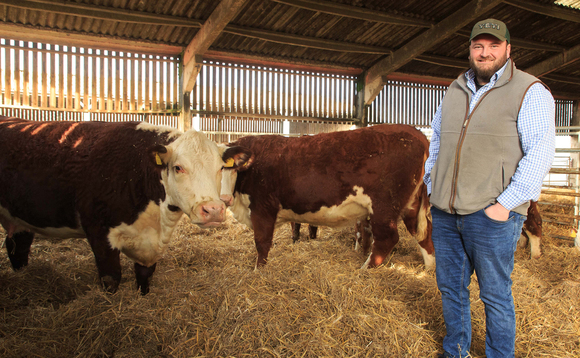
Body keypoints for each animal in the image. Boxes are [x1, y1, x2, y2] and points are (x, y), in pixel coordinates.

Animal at [0, 117, 249, 294]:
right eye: (178, 167)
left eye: (220, 168)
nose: (213, 210)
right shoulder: (98, 232)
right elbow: (111, 278)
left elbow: (145, 276)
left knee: (17, 247)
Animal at [221, 124, 436, 270]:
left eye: (225, 168)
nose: (223, 198)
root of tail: (416, 133)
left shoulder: (262, 207)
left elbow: (262, 243)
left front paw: (259, 271)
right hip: (411, 204)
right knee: (423, 234)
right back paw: (428, 270)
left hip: (384, 207)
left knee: (387, 238)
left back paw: (364, 269)